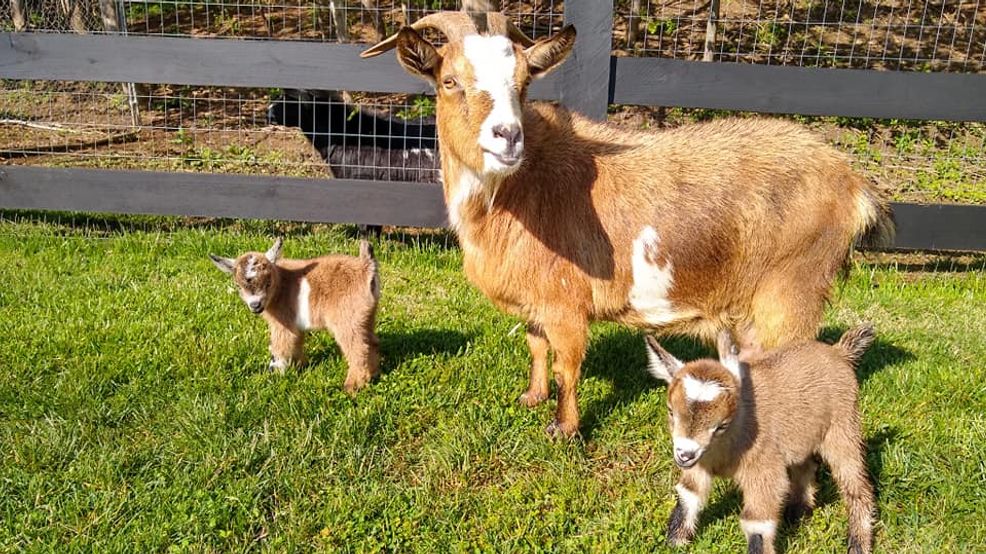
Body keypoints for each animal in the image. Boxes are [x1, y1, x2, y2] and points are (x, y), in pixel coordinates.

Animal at [209, 238, 381, 393]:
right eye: (238, 286)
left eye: (268, 283)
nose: (255, 305)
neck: (280, 284)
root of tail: (366, 267)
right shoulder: (295, 325)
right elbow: (296, 343)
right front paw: (300, 366)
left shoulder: (283, 322)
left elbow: (280, 345)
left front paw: (276, 373)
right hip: (366, 315)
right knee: (371, 342)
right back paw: (373, 375)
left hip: (346, 319)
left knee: (357, 347)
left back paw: (351, 386)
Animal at [361, 11, 895, 437]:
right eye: (449, 80)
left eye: (524, 83)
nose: (508, 136)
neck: (517, 192)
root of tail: (854, 185)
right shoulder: (534, 300)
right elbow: (536, 347)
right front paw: (531, 399)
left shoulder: (566, 303)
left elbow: (567, 367)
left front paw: (564, 430)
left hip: (793, 292)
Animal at [644, 327, 876, 554]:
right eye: (671, 411)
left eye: (722, 425)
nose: (684, 455)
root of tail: (839, 351)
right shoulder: (700, 463)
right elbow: (689, 494)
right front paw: (675, 542)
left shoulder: (763, 468)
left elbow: (758, 523)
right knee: (806, 464)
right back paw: (798, 511)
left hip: (843, 425)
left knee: (855, 482)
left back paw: (858, 543)